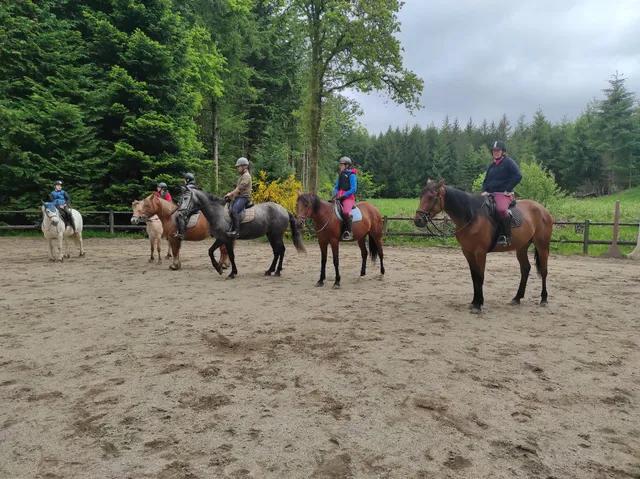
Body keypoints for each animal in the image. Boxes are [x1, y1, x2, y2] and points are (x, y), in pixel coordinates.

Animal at [414, 179, 553, 313]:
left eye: (431, 197)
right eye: (421, 196)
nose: (418, 220)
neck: (471, 216)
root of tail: (543, 210)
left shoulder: (480, 252)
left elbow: (480, 275)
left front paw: (478, 304)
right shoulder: (467, 251)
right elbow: (474, 276)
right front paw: (474, 302)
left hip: (542, 246)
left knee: (544, 270)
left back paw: (544, 299)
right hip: (521, 248)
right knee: (525, 268)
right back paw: (517, 298)